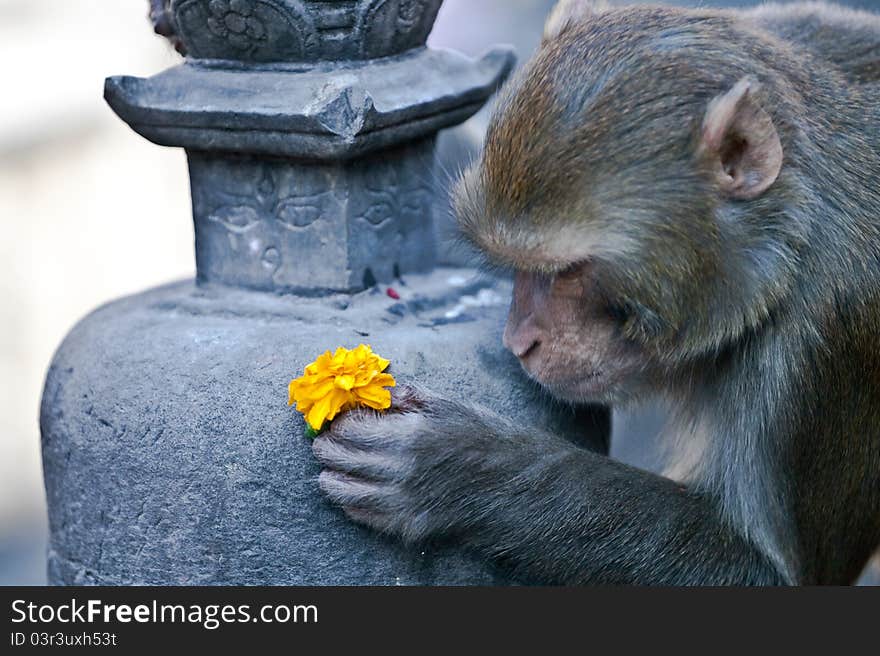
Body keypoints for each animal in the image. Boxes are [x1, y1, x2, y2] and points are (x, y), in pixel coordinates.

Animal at [312, 0, 880, 584]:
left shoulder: (825, 335)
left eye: (568, 270)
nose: (520, 342)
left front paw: (456, 461)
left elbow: (773, 575)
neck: (789, 244)